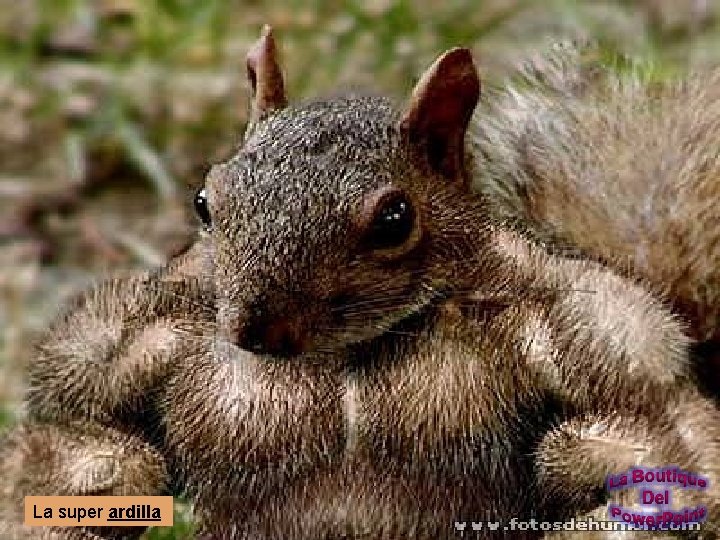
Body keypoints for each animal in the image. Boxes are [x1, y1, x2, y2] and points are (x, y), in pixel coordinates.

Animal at [2, 26, 720, 539]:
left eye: (395, 219)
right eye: (205, 202)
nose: (252, 330)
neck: (346, 353)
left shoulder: (598, 336)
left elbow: (669, 451)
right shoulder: (128, 341)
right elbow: (88, 443)